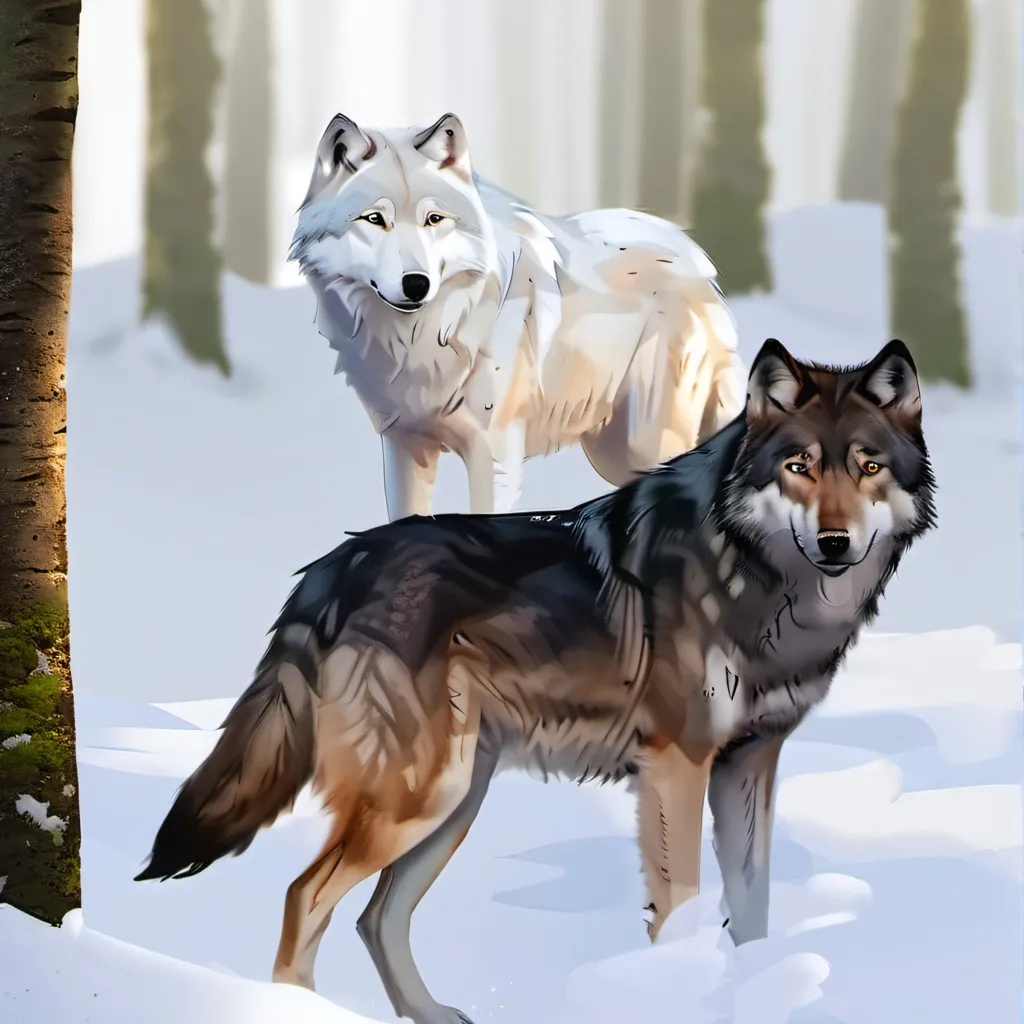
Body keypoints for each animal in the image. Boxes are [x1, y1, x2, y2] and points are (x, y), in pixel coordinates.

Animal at [136, 339, 935, 1024]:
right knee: (306, 898)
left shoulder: (751, 765)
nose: (835, 542)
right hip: (422, 798)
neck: (752, 573)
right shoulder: (677, 765)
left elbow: (755, 914)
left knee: (376, 917)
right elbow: (681, 912)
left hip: (454, 804)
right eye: (799, 466)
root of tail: (337, 564)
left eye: (867, 468)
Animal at [289, 111, 744, 520]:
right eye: (374, 219)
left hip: (646, 442)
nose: (417, 284)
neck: (426, 334)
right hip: (613, 452)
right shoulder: (404, 447)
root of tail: (699, 260)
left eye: (434, 219)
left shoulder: (493, 455)